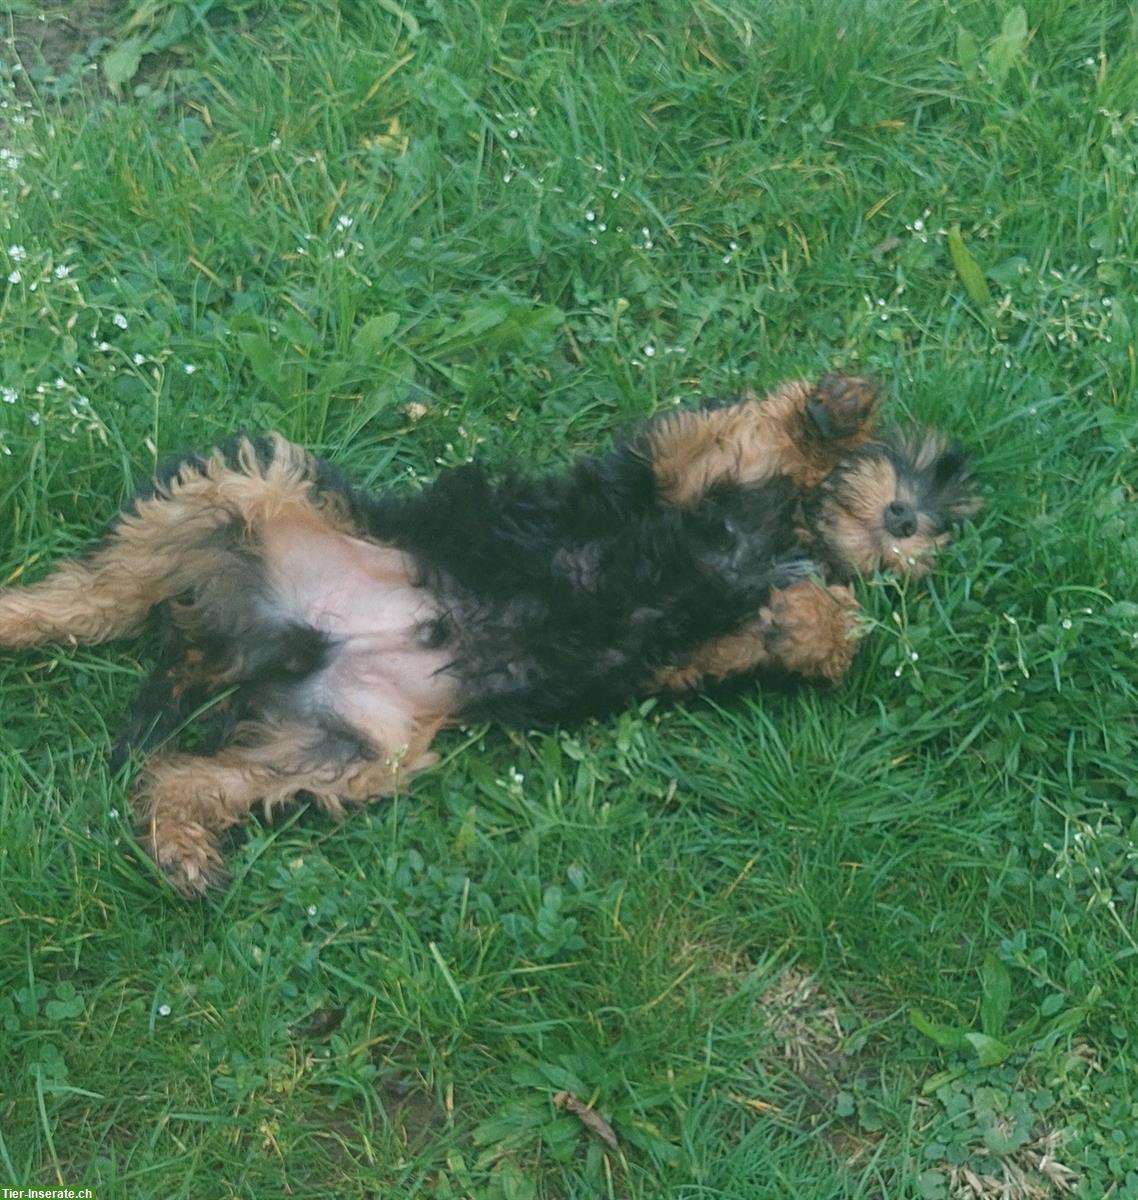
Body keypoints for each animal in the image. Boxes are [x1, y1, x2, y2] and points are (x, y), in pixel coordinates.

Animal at [0, 374, 979, 892]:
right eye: (910, 480)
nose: (908, 522)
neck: (771, 536)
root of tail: (284, 642)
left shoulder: (699, 646)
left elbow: (801, 629)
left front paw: (810, 615)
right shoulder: (673, 474)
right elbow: (752, 435)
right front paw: (832, 411)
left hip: (351, 747)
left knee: (188, 771)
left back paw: (181, 845)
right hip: (241, 499)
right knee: (94, 598)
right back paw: (21, 622)